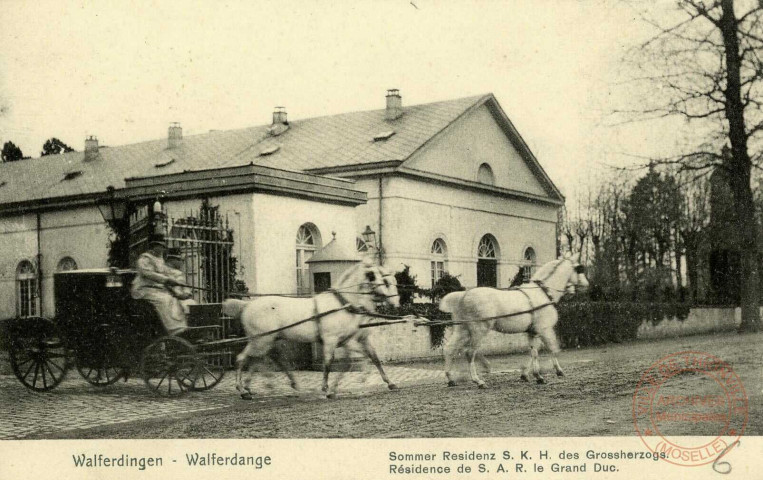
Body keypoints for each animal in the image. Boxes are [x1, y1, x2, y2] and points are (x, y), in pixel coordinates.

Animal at [221, 260, 400, 400]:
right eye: (382, 280)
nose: (395, 304)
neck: (343, 304)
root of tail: (247, 305)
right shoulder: (331, 340)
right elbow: (329, 363)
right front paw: (327, 390)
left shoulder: (347, 340)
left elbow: (370, 358)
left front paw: (389, 383)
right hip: (261, 340)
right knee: (243, 359)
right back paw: (243, 390)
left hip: (266, 340)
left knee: (260, 359)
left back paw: (257, 387)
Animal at [438, 253, 588, 388]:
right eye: (579, 268)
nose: (586, 284)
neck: (543, 292)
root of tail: (464, 295)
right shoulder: (544, 330)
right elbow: (553, 349)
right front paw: (557, 371)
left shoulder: (532, 332)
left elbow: (533, 352)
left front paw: (532, 375)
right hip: (479, 330)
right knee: (469, 352)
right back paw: (479, 381)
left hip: (462, 330)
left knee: (450, 349)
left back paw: (451, 379)